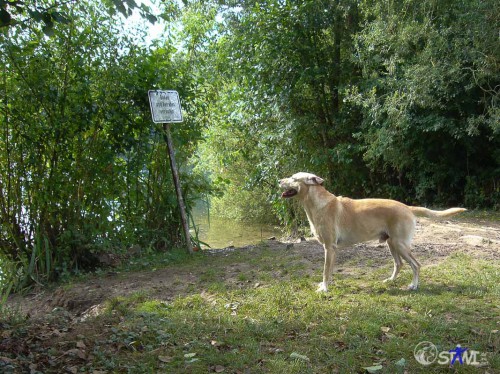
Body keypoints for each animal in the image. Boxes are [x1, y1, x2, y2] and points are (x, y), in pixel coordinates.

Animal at [280, 172, 466, 292]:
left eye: (293, 178)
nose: (279, 180)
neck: (318, 205)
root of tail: (407, 207)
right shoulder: (332, 249)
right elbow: (330, 270)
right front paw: (327, 285)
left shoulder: (329, 247)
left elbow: (325, 270)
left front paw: (324, 288)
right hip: (392, 244)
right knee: (399, 264)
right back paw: (390, 281)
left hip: (400, 244)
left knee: (416, 264)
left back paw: (414, 286)